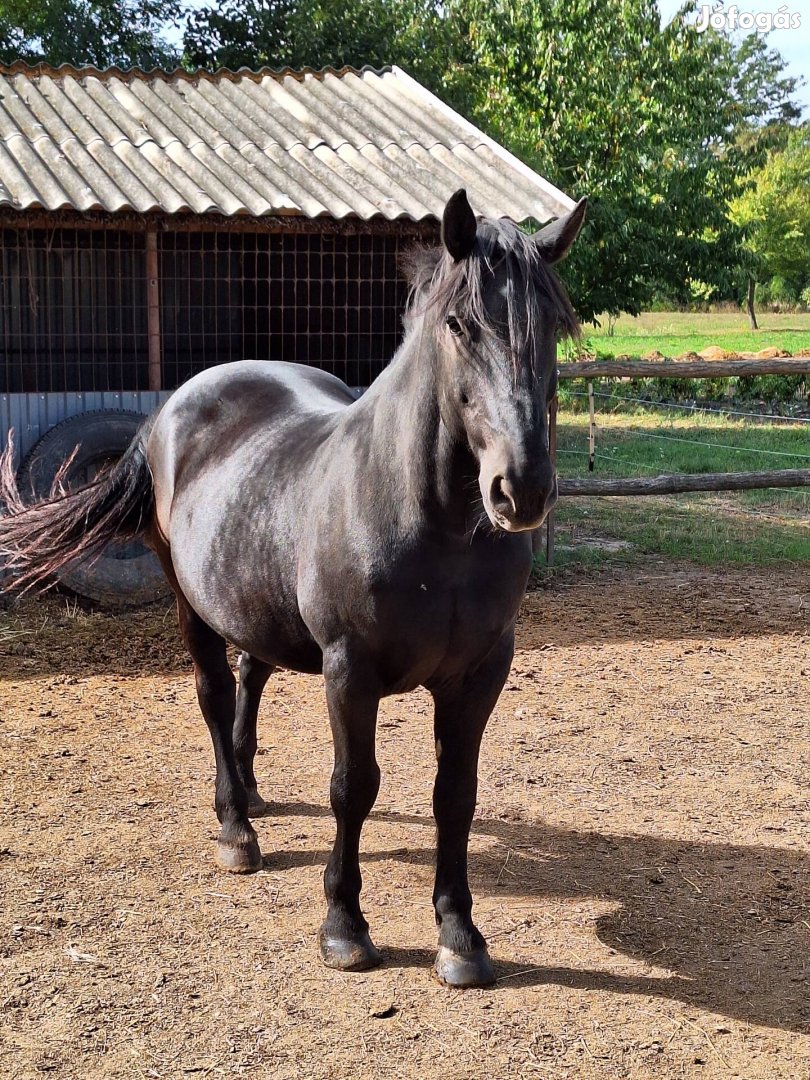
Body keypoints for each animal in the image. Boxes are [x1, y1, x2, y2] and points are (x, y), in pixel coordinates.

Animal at [0, 187, 583, 989]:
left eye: (552, 324)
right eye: (460, 324)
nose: (521, 490)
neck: (429, 522)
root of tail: (173, 406)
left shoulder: (481, 672)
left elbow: (455, 795)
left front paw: (461, 936)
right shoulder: (350, 670)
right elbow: (353, 787)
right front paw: (344, 926)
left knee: (252, 674)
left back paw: (250, 790)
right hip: (190, 605)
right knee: (216, 699)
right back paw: (235, 828)